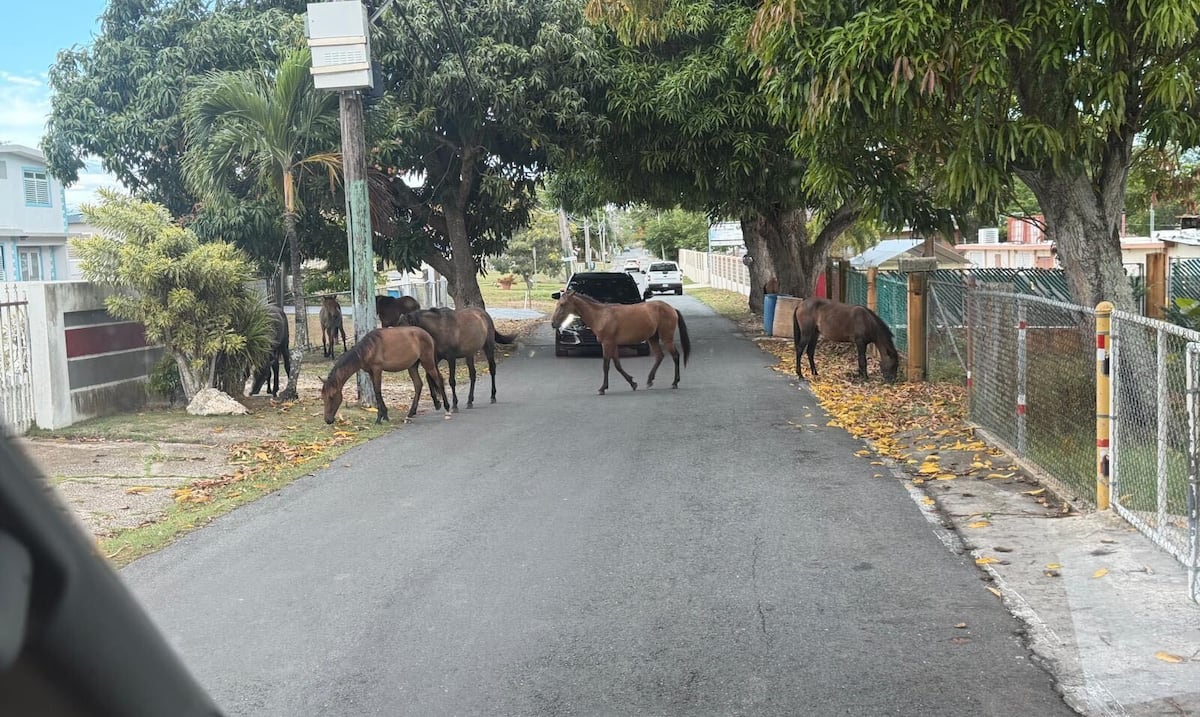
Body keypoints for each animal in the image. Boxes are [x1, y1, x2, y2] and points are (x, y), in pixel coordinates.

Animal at [320, 327, 451, 424]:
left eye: (331, 396)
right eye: (323, 397)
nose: (328, 420)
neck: (368, 348)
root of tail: (428, 335)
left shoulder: (377, 370)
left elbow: (377, 391)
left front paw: (380, 418)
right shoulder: (371, 372)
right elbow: (376, 391)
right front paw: (384, 415)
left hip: (428, 362)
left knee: (439, 381)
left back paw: (447, 408)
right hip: (412, 366)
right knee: (418, 385)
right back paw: (410, 413)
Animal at [550, 290, 691, 395]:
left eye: (562, 304)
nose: (553, 323)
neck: (601, 316)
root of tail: (672, 309)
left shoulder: (607, 344)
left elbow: (606, 366)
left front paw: (602, 388)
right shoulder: (613, 345)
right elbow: (618, 365)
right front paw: (633, 383)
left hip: (666, 338)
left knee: (675, 356)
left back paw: (675, 382)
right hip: (653, 338)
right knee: (659, 356)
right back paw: (650, 381)